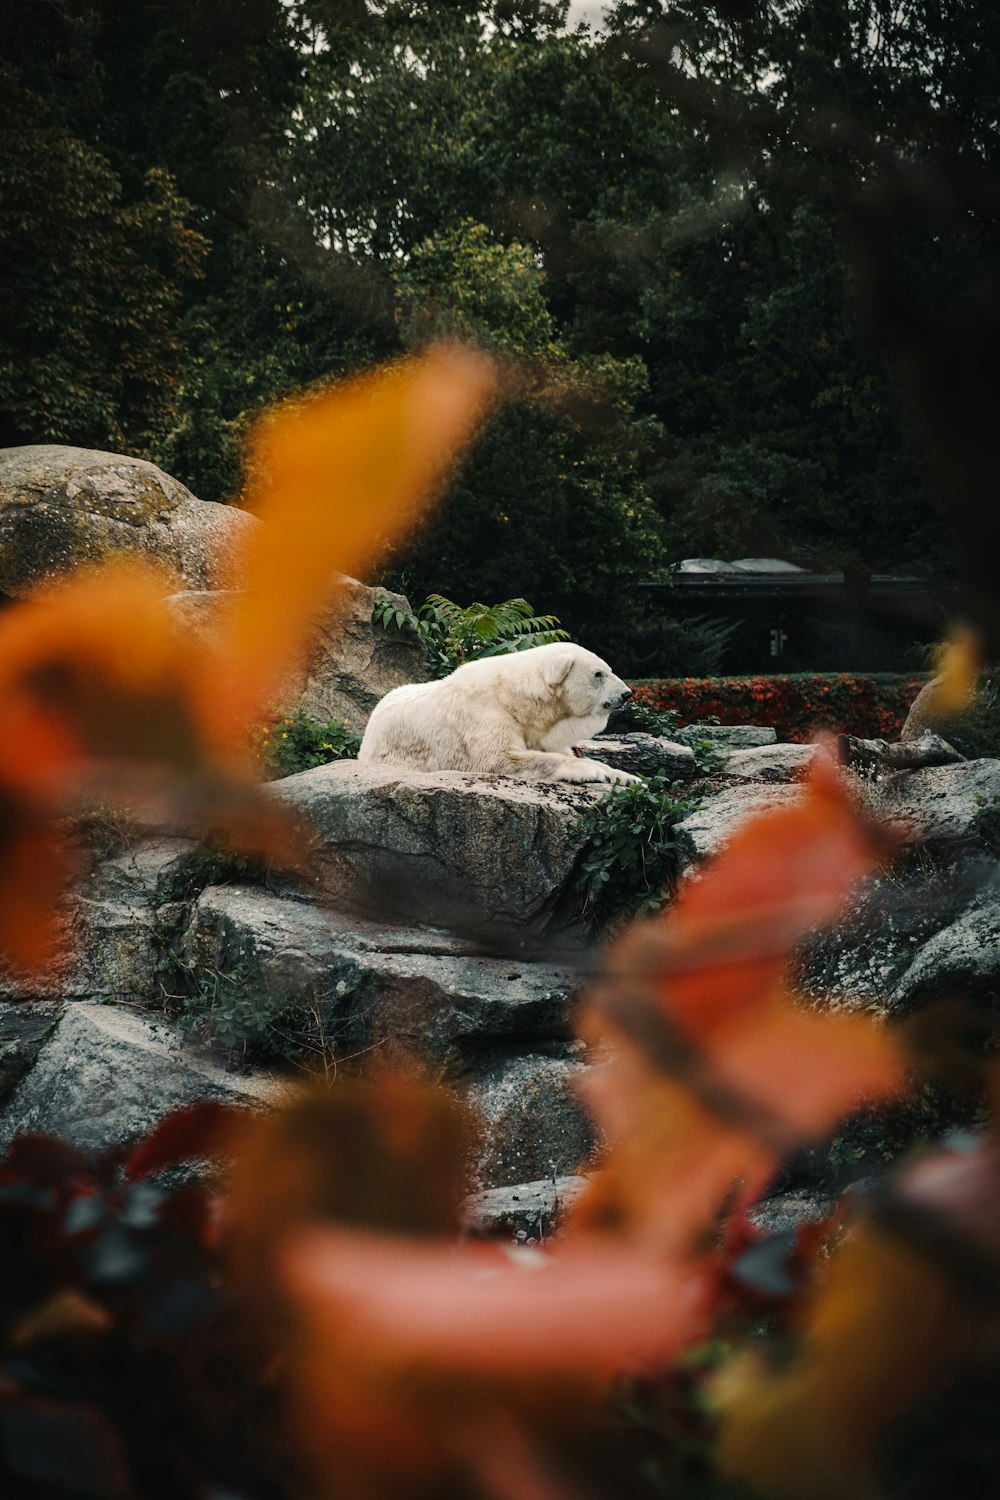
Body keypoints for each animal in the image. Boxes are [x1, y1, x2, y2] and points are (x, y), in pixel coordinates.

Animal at [359, 642, 641, 786]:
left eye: (608, 669)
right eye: (598, 674)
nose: (627, 693)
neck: (514, 696)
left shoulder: (536, 728)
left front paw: (628, 777)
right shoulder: (485, 713)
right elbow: (500, 757)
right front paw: (590, 771)